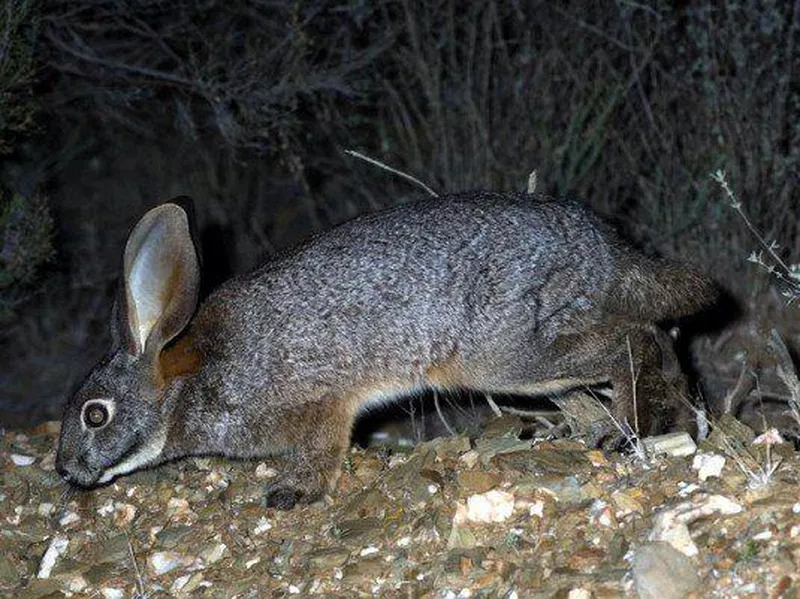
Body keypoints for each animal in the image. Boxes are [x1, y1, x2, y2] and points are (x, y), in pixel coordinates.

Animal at [56, 190, 720, 508]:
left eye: (96, 415)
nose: (65, 470)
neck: (188, 383)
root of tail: (602, 245)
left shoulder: (317, 405)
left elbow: (322, 451)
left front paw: (291, 494)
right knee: (644, 345)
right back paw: (667, 419)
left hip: (511, 354)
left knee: (630, 341)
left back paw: (630, 431)